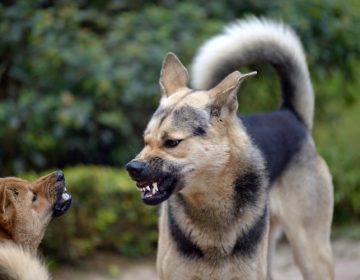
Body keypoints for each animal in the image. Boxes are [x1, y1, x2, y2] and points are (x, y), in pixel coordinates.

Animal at [127, 17, 334, 280]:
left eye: (172, 142)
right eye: (146, 140)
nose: (132, 168)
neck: (211, 203)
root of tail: (289, 115)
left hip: (311, 252)